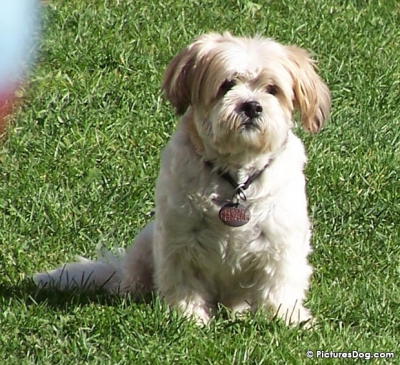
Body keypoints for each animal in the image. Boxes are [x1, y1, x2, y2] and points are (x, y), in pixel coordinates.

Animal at [34, 32, 330, 324]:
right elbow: (184, 281)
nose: (252, 106)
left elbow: (279, 283)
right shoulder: (180, 238)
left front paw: (285, 318)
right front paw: (187, 316)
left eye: (273, 89)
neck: (236, 177)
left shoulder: (280, 239)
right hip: (146, 241)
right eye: (227, 85)